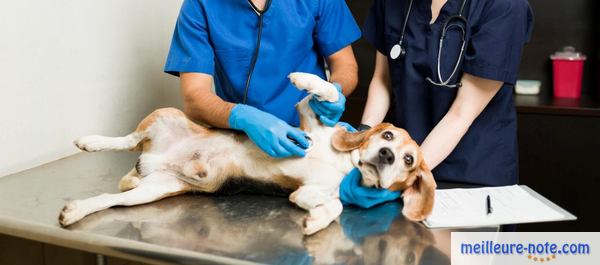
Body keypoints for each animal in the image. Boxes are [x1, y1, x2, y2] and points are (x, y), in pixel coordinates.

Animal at [58, 71, 436, 233]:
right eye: (387, 134)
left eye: (408, 160)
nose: (387, 154)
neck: (347, 164)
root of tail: (152, 161)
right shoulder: (310, 124)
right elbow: (326, 91)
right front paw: (304, 79)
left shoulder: (309, 192)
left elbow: (337, 204)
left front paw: (315, 221)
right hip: (165, 115)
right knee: (128, 139)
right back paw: (91, 141)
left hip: (152, 191)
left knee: (111, 199)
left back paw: (77, 210)